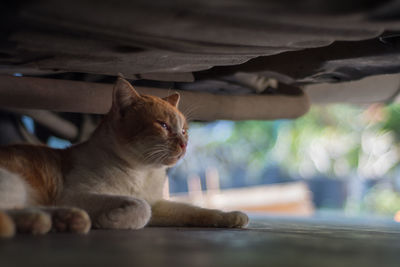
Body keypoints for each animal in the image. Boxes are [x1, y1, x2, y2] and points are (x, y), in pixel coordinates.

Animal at [0, 77, 248, 239]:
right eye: (163, 126)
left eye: (185, 131)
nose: (184, 143)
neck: (143, 172)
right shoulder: (74, 194)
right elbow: (141, 208)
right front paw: (110, 220)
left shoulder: (158, 204)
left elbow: (194, 210)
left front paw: (232, 217)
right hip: (17, 184)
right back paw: (51, 221)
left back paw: (65, 220)